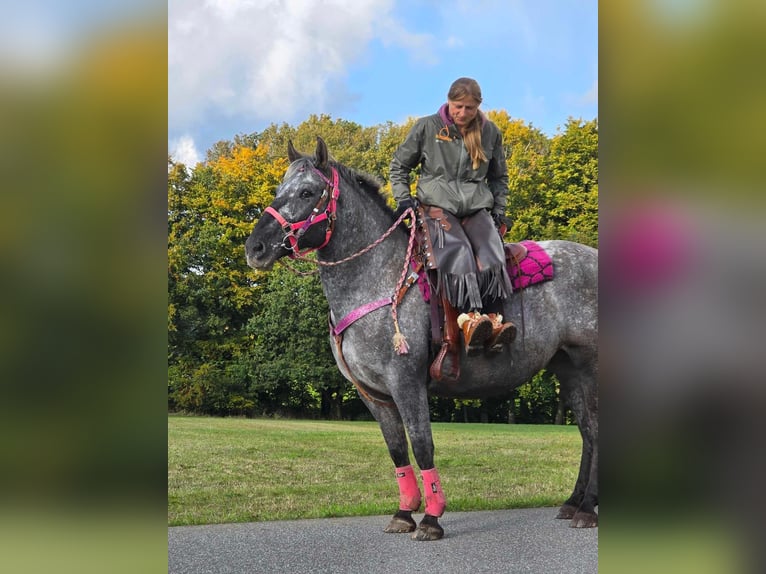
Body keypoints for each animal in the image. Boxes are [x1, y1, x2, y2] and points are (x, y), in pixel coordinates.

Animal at [246, 137, 600, 544]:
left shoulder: (406, 382)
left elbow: (421, 444)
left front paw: (431, 517)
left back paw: (587, 509)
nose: (255, 248)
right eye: (278, 189)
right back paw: (574, 503)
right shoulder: (374, 395)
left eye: (307, 192)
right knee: (588, 433)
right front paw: (404, 513)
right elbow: (397, 449)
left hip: (590, 367)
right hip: (568, 370)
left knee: (597, 431)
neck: (379, 278)